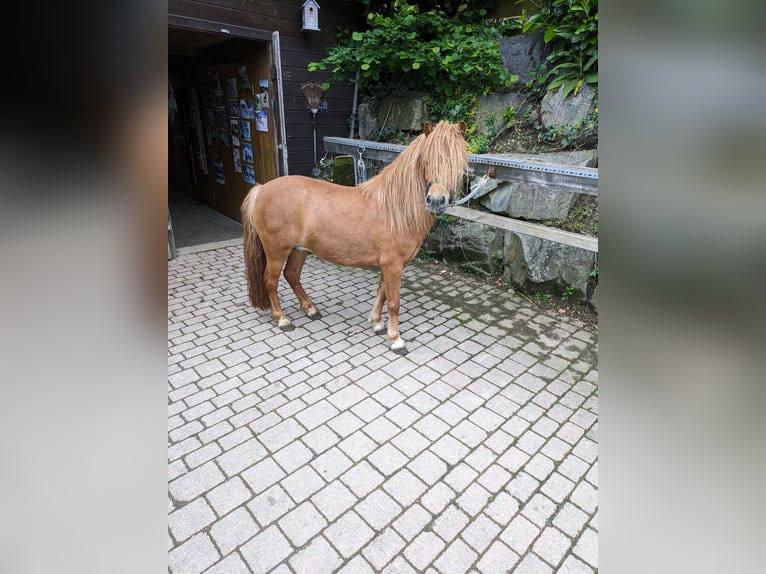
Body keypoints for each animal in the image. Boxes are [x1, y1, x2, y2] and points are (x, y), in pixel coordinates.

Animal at [242, 121, 468, 356]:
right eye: (426, 161)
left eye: (458, 163)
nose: (436, 201)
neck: (395, 210)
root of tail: (260, 189)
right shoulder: (393, 265)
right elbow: (393, 302)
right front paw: (396, 339)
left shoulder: (389, 265)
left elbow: (382, 293)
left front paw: (377, 323)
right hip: (277, 251)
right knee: (270, 280)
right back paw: (282, 319)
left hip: (299, 249)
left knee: (292, 275)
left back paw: (310, 309)